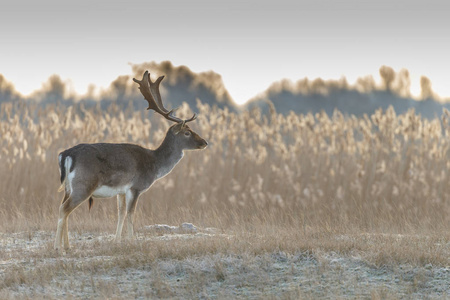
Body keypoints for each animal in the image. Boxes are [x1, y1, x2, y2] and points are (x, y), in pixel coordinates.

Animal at [54, 71, 207, 251]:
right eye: (187, 133)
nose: (205, 142)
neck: (155, 164)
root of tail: (66, 154)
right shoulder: (135, 186)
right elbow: (131, 214)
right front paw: (132, 240)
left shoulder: (121, 190)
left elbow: (120, 213)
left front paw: (116, 240)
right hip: (83, 184)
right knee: (63, 209)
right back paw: (58, 247)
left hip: (68, 187)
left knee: (64, 209)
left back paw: (67, 246)